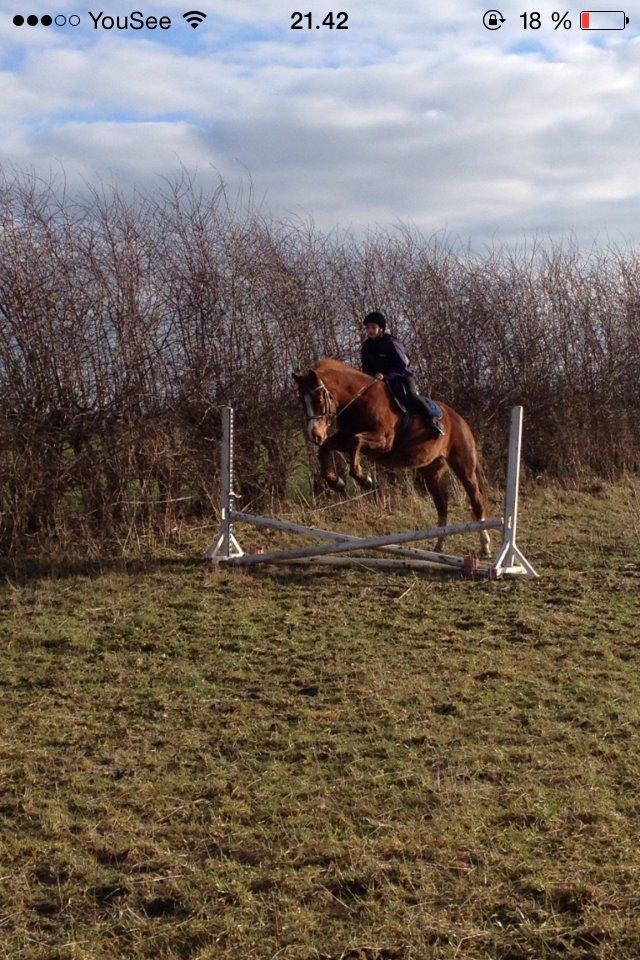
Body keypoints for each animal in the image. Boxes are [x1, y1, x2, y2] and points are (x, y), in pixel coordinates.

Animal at [292, 358, 492, 556]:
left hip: (463, 465)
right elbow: (326, 448)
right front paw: (336, 482)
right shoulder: (343, 438)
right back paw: (439, 547)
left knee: (476, 500)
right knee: (442, 505)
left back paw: (485, 546)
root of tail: (460, 420)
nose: (315, 435)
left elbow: (356, 442)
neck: (357, 401)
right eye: (301, 400)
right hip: (432, 471)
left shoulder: (383, 441)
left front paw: (364, 480)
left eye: (318, 398)